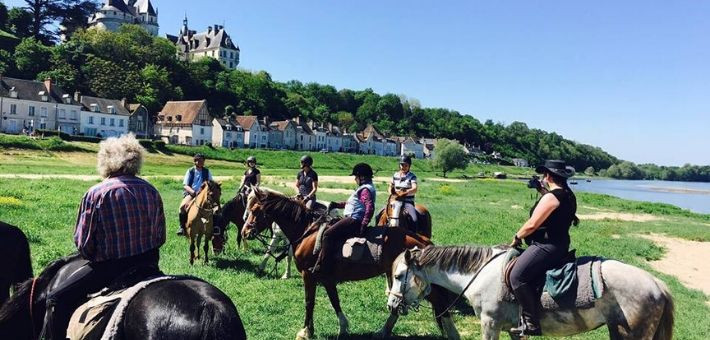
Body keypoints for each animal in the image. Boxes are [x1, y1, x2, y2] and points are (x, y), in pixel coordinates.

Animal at [239, 189, 462, 340]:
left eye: (256, 210)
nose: (245, 232)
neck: (308, 231)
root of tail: (422, 240)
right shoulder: (327, 279)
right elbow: (335, 301)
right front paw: (343, 327)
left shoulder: (309, 276)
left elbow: (309, 303)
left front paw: (306, 331)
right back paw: (383, 331)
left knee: (439, 304)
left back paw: (451, 333)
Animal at [386, 246, 676, 338]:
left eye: (399, 276)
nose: (391, 306)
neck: (480, 273)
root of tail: (657, 284)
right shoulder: (515, 330)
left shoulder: (490, 324)